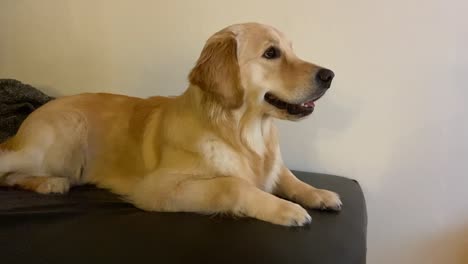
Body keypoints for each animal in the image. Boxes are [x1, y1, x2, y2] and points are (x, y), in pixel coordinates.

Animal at [0, 22, 340, 226]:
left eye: (292, 49)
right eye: (271, 53)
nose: (329, 75)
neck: (242, 133)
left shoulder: (273, 165)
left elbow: (289, 177)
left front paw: (319, 194)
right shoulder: (158, 189)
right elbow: (233, 185)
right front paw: (284, 208)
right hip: (61, 142)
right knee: (8, 167)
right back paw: (48, 182)